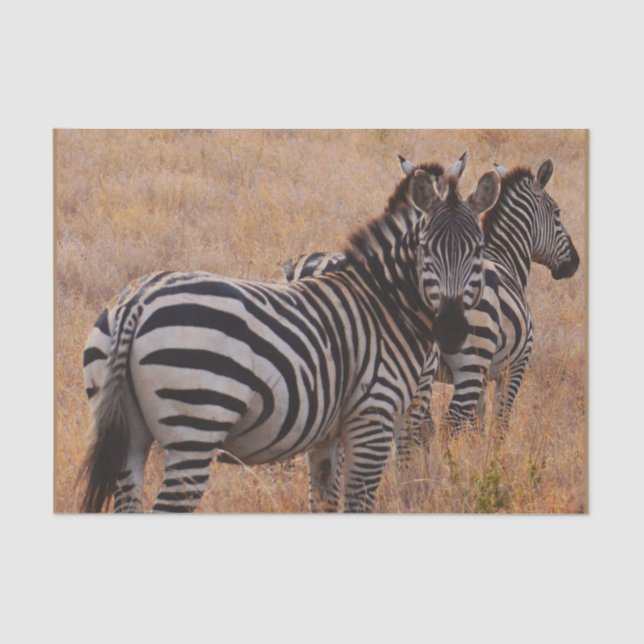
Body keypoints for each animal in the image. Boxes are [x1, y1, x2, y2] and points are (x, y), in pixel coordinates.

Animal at [80, 153, 500, 513]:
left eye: (479, 250)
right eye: (426, 249)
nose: (451, 330)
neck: (384, 303)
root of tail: (137, 302)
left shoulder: (328, 436)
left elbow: (324, 501)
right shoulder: (372, 418)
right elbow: (359, 502)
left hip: (127, 433)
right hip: (195, 426)